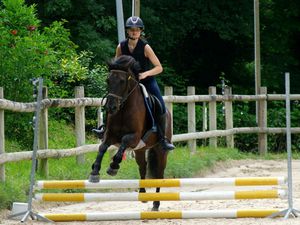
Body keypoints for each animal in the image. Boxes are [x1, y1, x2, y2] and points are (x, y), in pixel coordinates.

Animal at [89, 54, 172, 211]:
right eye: (108, 80)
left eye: (122, 81)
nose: (111, 107)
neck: (123, 108)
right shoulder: (110, 135)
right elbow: (102, 147)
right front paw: (95, 171)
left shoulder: (134, 137)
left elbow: (124, 142)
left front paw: (113, 167)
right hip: (140, 150)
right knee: (142, 167)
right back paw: (143, 195)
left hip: (160, 150)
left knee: (159, 173)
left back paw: (156, 204)